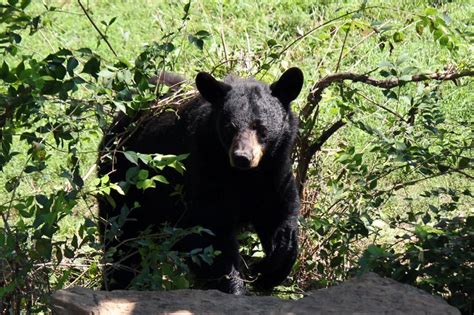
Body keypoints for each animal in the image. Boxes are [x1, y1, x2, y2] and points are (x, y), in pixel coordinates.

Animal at [98, 67, 304, 296]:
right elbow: (209, 231)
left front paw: (266, 272)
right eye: (230, 127)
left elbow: (280, 216)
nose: (242, 157)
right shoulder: (205, 170)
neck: (244, 176)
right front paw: (235, 287)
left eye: (261, 128)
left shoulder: (275, 173)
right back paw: (118, 282)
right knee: (121, 235)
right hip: (123, 181)